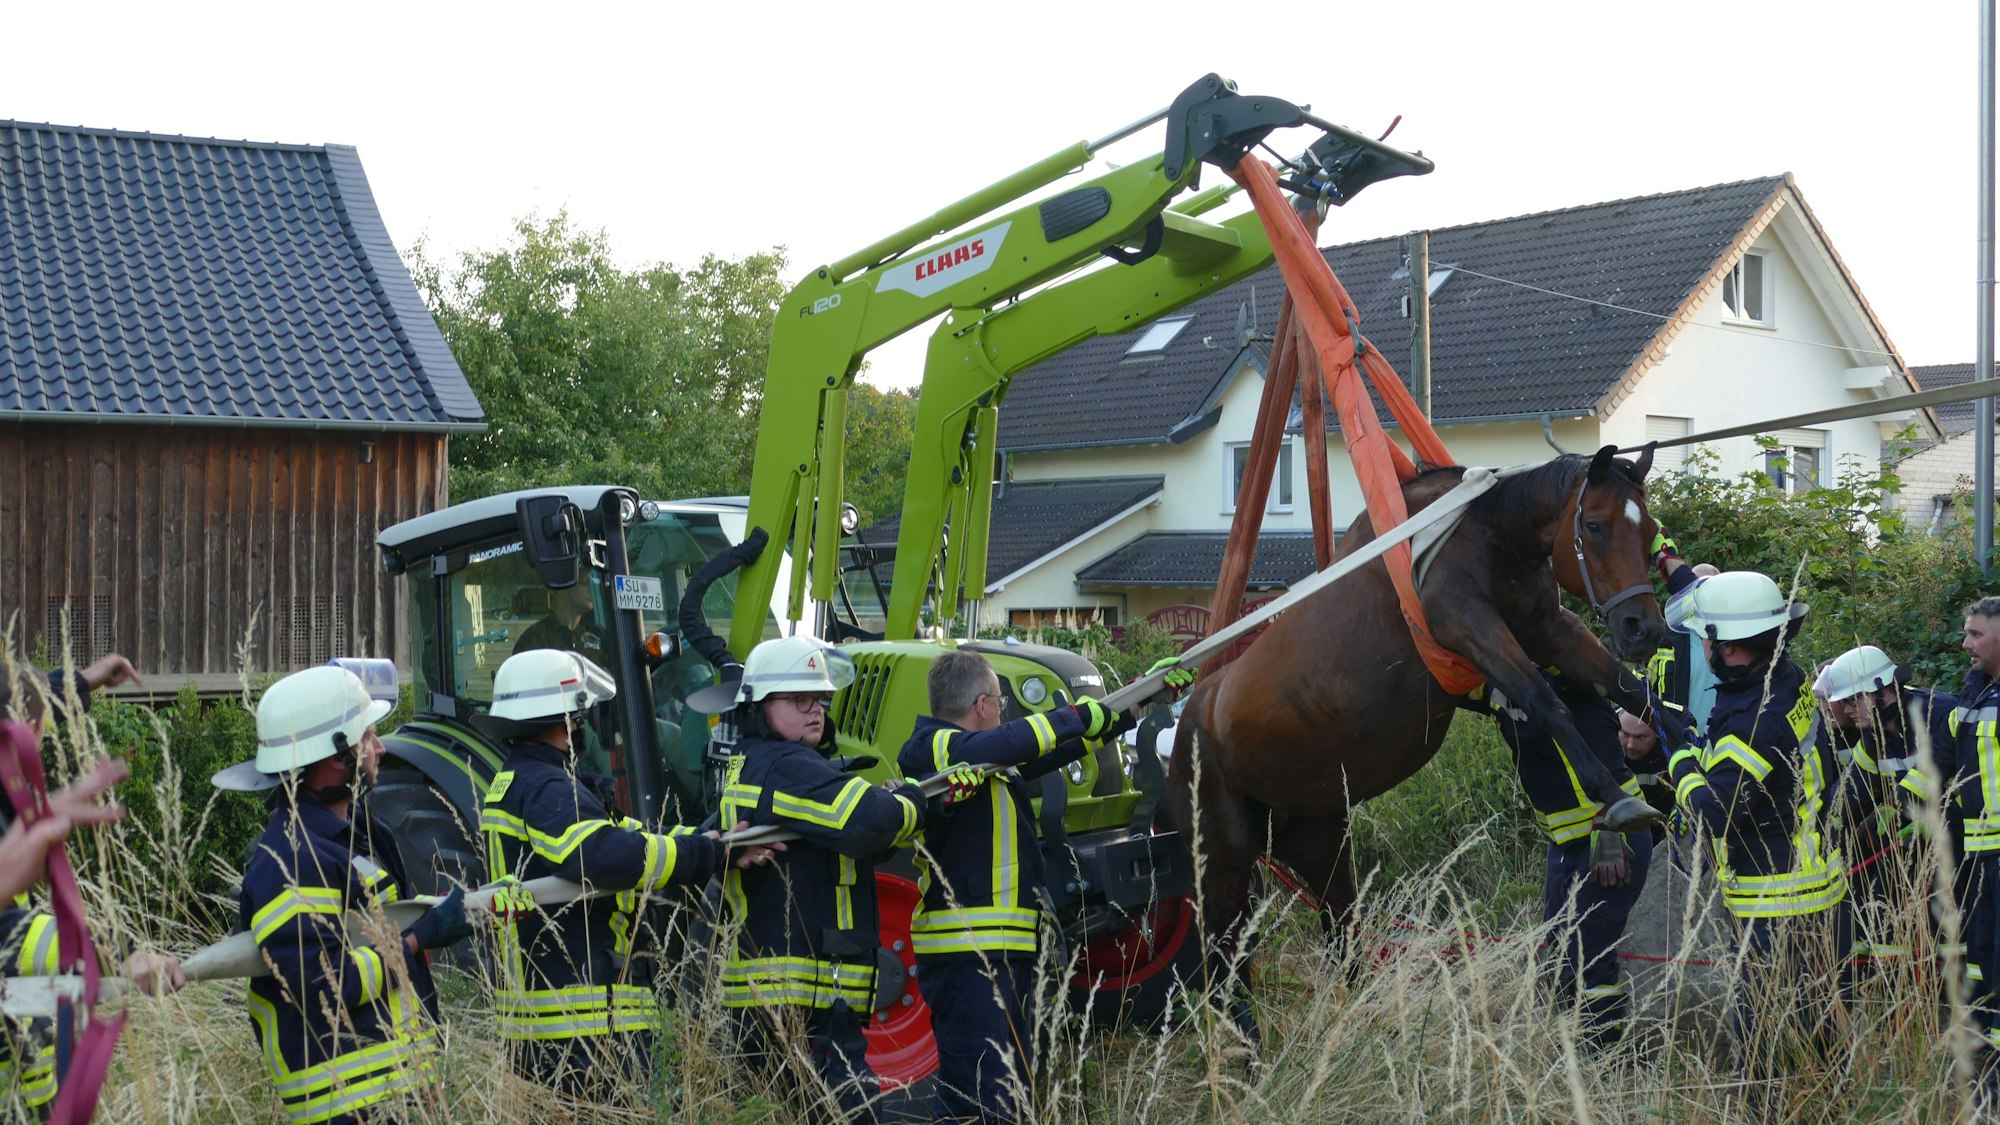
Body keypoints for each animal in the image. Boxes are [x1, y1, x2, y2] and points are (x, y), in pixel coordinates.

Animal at [1162, 444, 1668, 1035]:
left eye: (1650, 530)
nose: (1642, 627)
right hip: (1221, 860)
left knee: (1336, 937)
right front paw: (1615, 796)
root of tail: (1186, 720)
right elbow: (1549, 703)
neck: (1483, 531)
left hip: (1322, 848)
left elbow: (1630, 690)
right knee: (1222, 961)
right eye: (1595, 525)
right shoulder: (1471, 627)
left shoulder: (1550, 630)